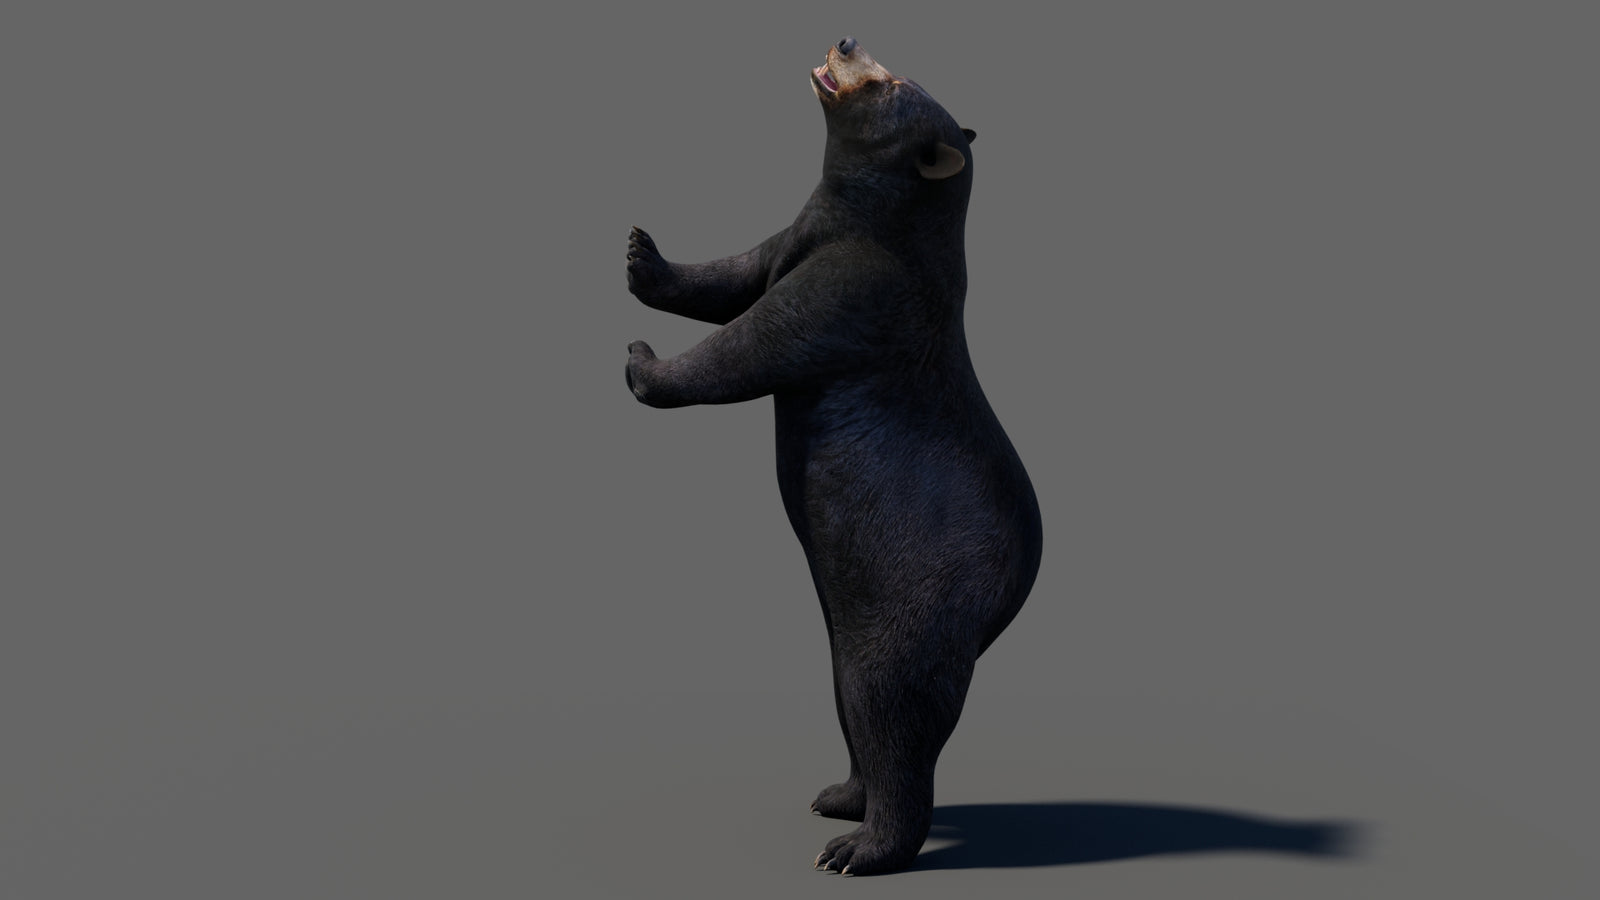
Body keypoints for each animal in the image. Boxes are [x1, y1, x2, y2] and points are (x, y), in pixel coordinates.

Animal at [624, 36, 1042, 876]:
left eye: (886, 82)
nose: (846, 40)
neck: (875, 218)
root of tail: (1008, 601)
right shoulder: (796, 237)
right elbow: (736, 274)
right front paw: (641, 253)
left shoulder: (862, 285)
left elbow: (755, 341)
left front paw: (642, 362)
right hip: (852, 614)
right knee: (854, 699)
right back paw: (840, 796)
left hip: (919, 599)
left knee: (893, 706)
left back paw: (860, 848)